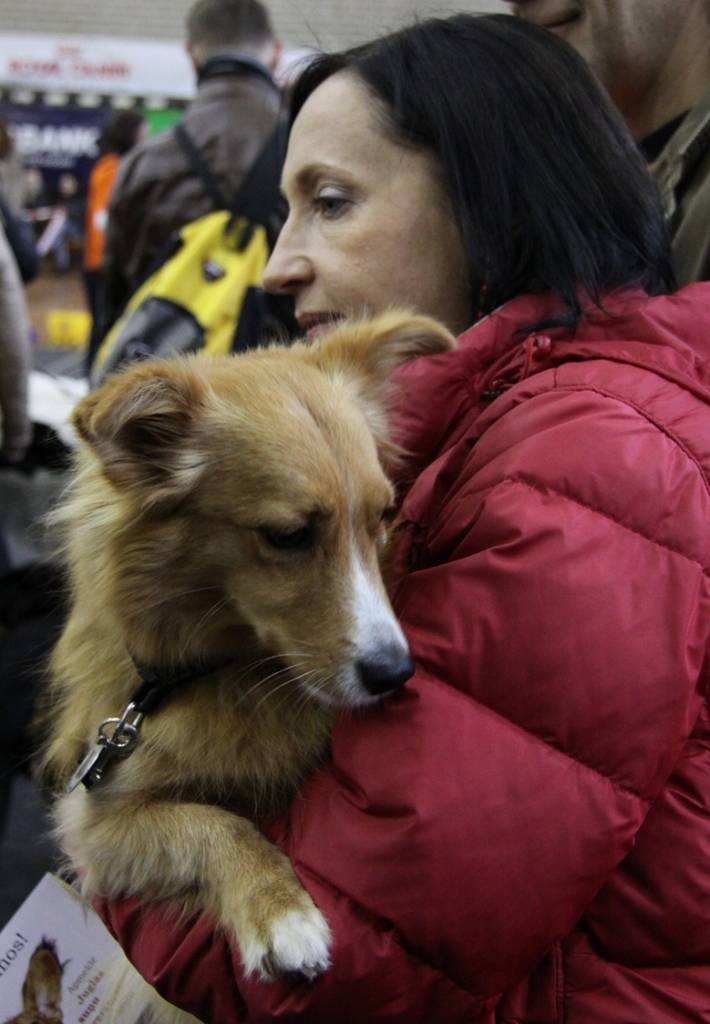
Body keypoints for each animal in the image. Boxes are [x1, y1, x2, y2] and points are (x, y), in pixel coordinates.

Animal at [41, 311, 454, 983]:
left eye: (383, 517)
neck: (228, 668)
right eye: (287, 536)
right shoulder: (96, 818)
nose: (396, 673)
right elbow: (210, 822)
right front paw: (279, 908)